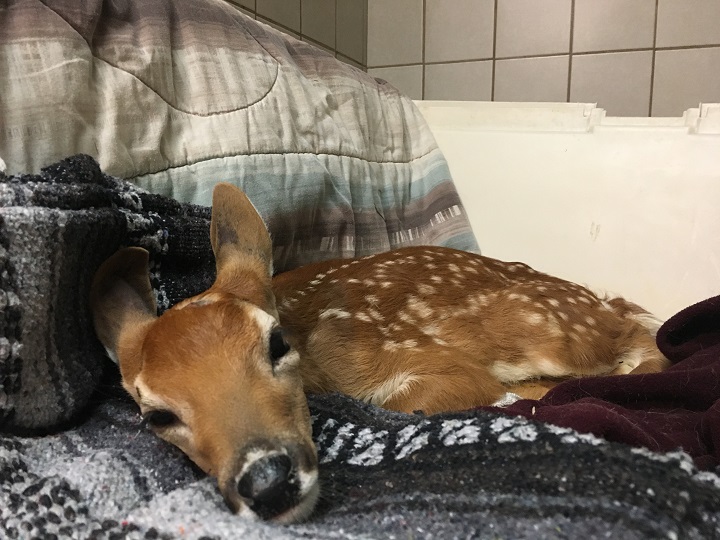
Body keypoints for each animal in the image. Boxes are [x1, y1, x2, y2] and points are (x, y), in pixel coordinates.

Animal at [90, 183, 670, 524]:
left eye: (276, 343)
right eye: (155, 415)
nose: (267, 482)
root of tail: (595, 297)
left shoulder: (428, 361)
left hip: (550, 328)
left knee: (642, 342)